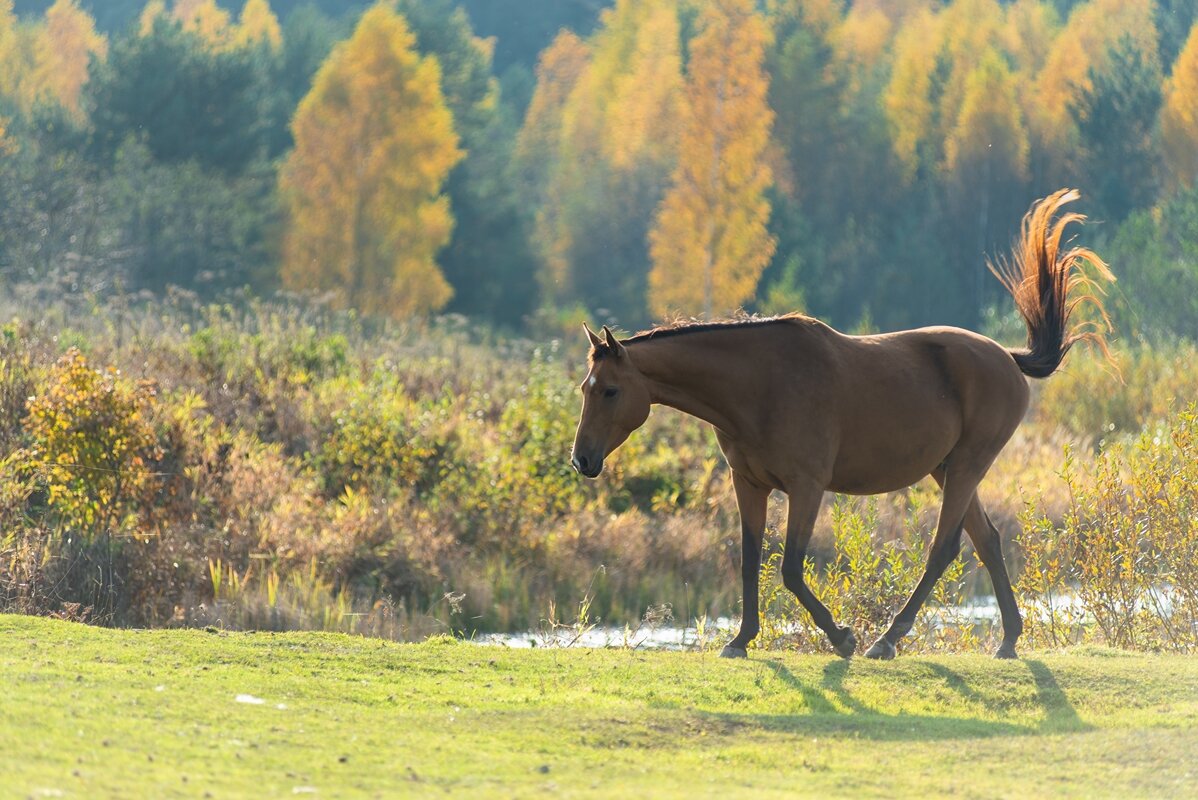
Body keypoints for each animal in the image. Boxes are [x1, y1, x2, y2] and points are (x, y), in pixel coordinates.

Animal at [570, 190, 1111, 661]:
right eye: (583, 387)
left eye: (610, 390)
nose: (582, 460)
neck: (760, 385)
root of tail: (1008, 357)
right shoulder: (748, 484)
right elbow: (749, 560)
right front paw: (742, 639)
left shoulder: (807, 487)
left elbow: (790, 568)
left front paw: (841, 637)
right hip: (948, 469)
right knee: (988, 541)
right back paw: (1008, 640)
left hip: (966, 467)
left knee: (945, 548)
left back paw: (887, 640)